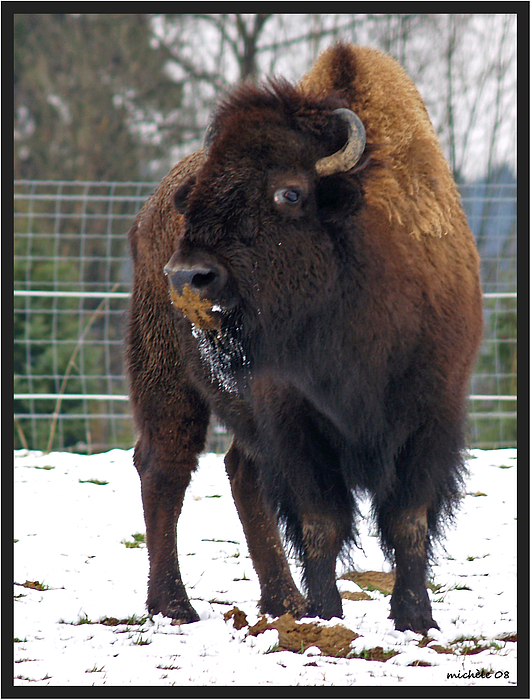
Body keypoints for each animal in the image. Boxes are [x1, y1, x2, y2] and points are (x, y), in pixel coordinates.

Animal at [127, 43, 484, 636]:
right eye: (199, 195)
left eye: (289, 193)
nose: (187, 276)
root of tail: (149, 209)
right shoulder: (294, 419)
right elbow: (321, 521)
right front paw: (325, 616)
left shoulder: (432, 411)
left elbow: (408, 518)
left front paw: (414, 618)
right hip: (166, 379)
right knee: (165, 469)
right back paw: (174, 606)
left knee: (240, 474)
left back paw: (281, 602)